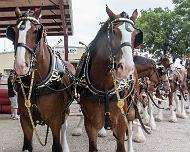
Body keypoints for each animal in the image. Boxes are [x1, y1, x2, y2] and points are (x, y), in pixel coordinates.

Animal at [5, 7, 74, 151]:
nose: (20, 66)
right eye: (13, 32)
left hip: (66, 109)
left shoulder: (55, 120)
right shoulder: (26, 121)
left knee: (64, 126)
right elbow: (27, 146)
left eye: (36, 31)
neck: (36, 85)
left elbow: (57, 144)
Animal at [75, 5, 142, 152]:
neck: (105, 87)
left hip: (130, 109)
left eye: (135, 35)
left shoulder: (121, 122)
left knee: (130, 125)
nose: (127, 68)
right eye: (114, 32)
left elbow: (121, 145)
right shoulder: (90, 124)